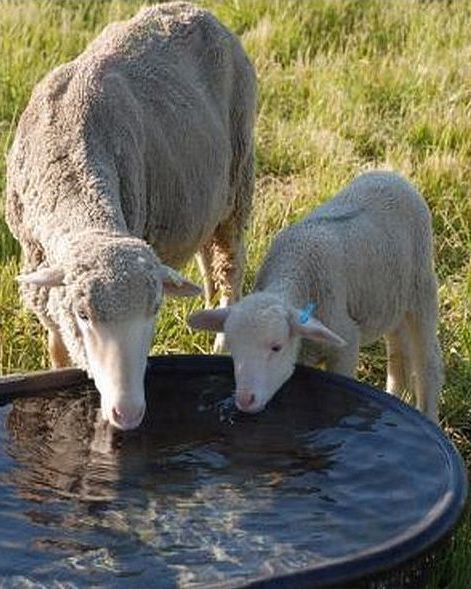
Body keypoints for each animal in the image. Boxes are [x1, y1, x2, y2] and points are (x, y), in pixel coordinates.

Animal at [5, 2, 256, 430]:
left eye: (154, 310)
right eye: (83, 314)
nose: (129, 412)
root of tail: (197, 10)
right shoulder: (41, 276)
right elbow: (57, 347)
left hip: (238, 181)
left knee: (230, 263)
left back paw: (223, 338)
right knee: (209, 253)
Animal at [187, 170, 442, 422]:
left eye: (276, 347)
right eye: (231, 346)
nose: (245, 400)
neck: (294, 273)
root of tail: (391, 175)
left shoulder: (346, 344)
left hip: (422, 288)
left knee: (429, 361)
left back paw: (428, 411)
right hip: (390, 298)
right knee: (399, 348)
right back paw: (394, 394)